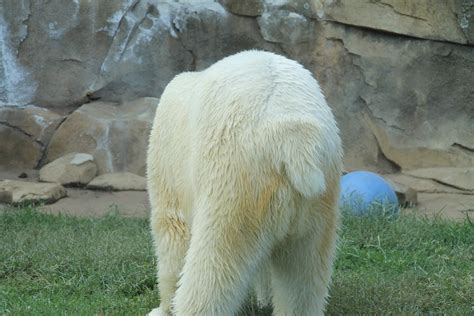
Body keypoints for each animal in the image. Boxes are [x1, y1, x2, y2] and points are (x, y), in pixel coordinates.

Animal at [147, 50, 340, 314]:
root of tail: (292, 136)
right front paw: (263, 296)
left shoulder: (169, 162)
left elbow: (173, 232)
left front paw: (162, 307)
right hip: (319, 197)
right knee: (303, 276)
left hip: (237, 183)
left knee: (214, 264)